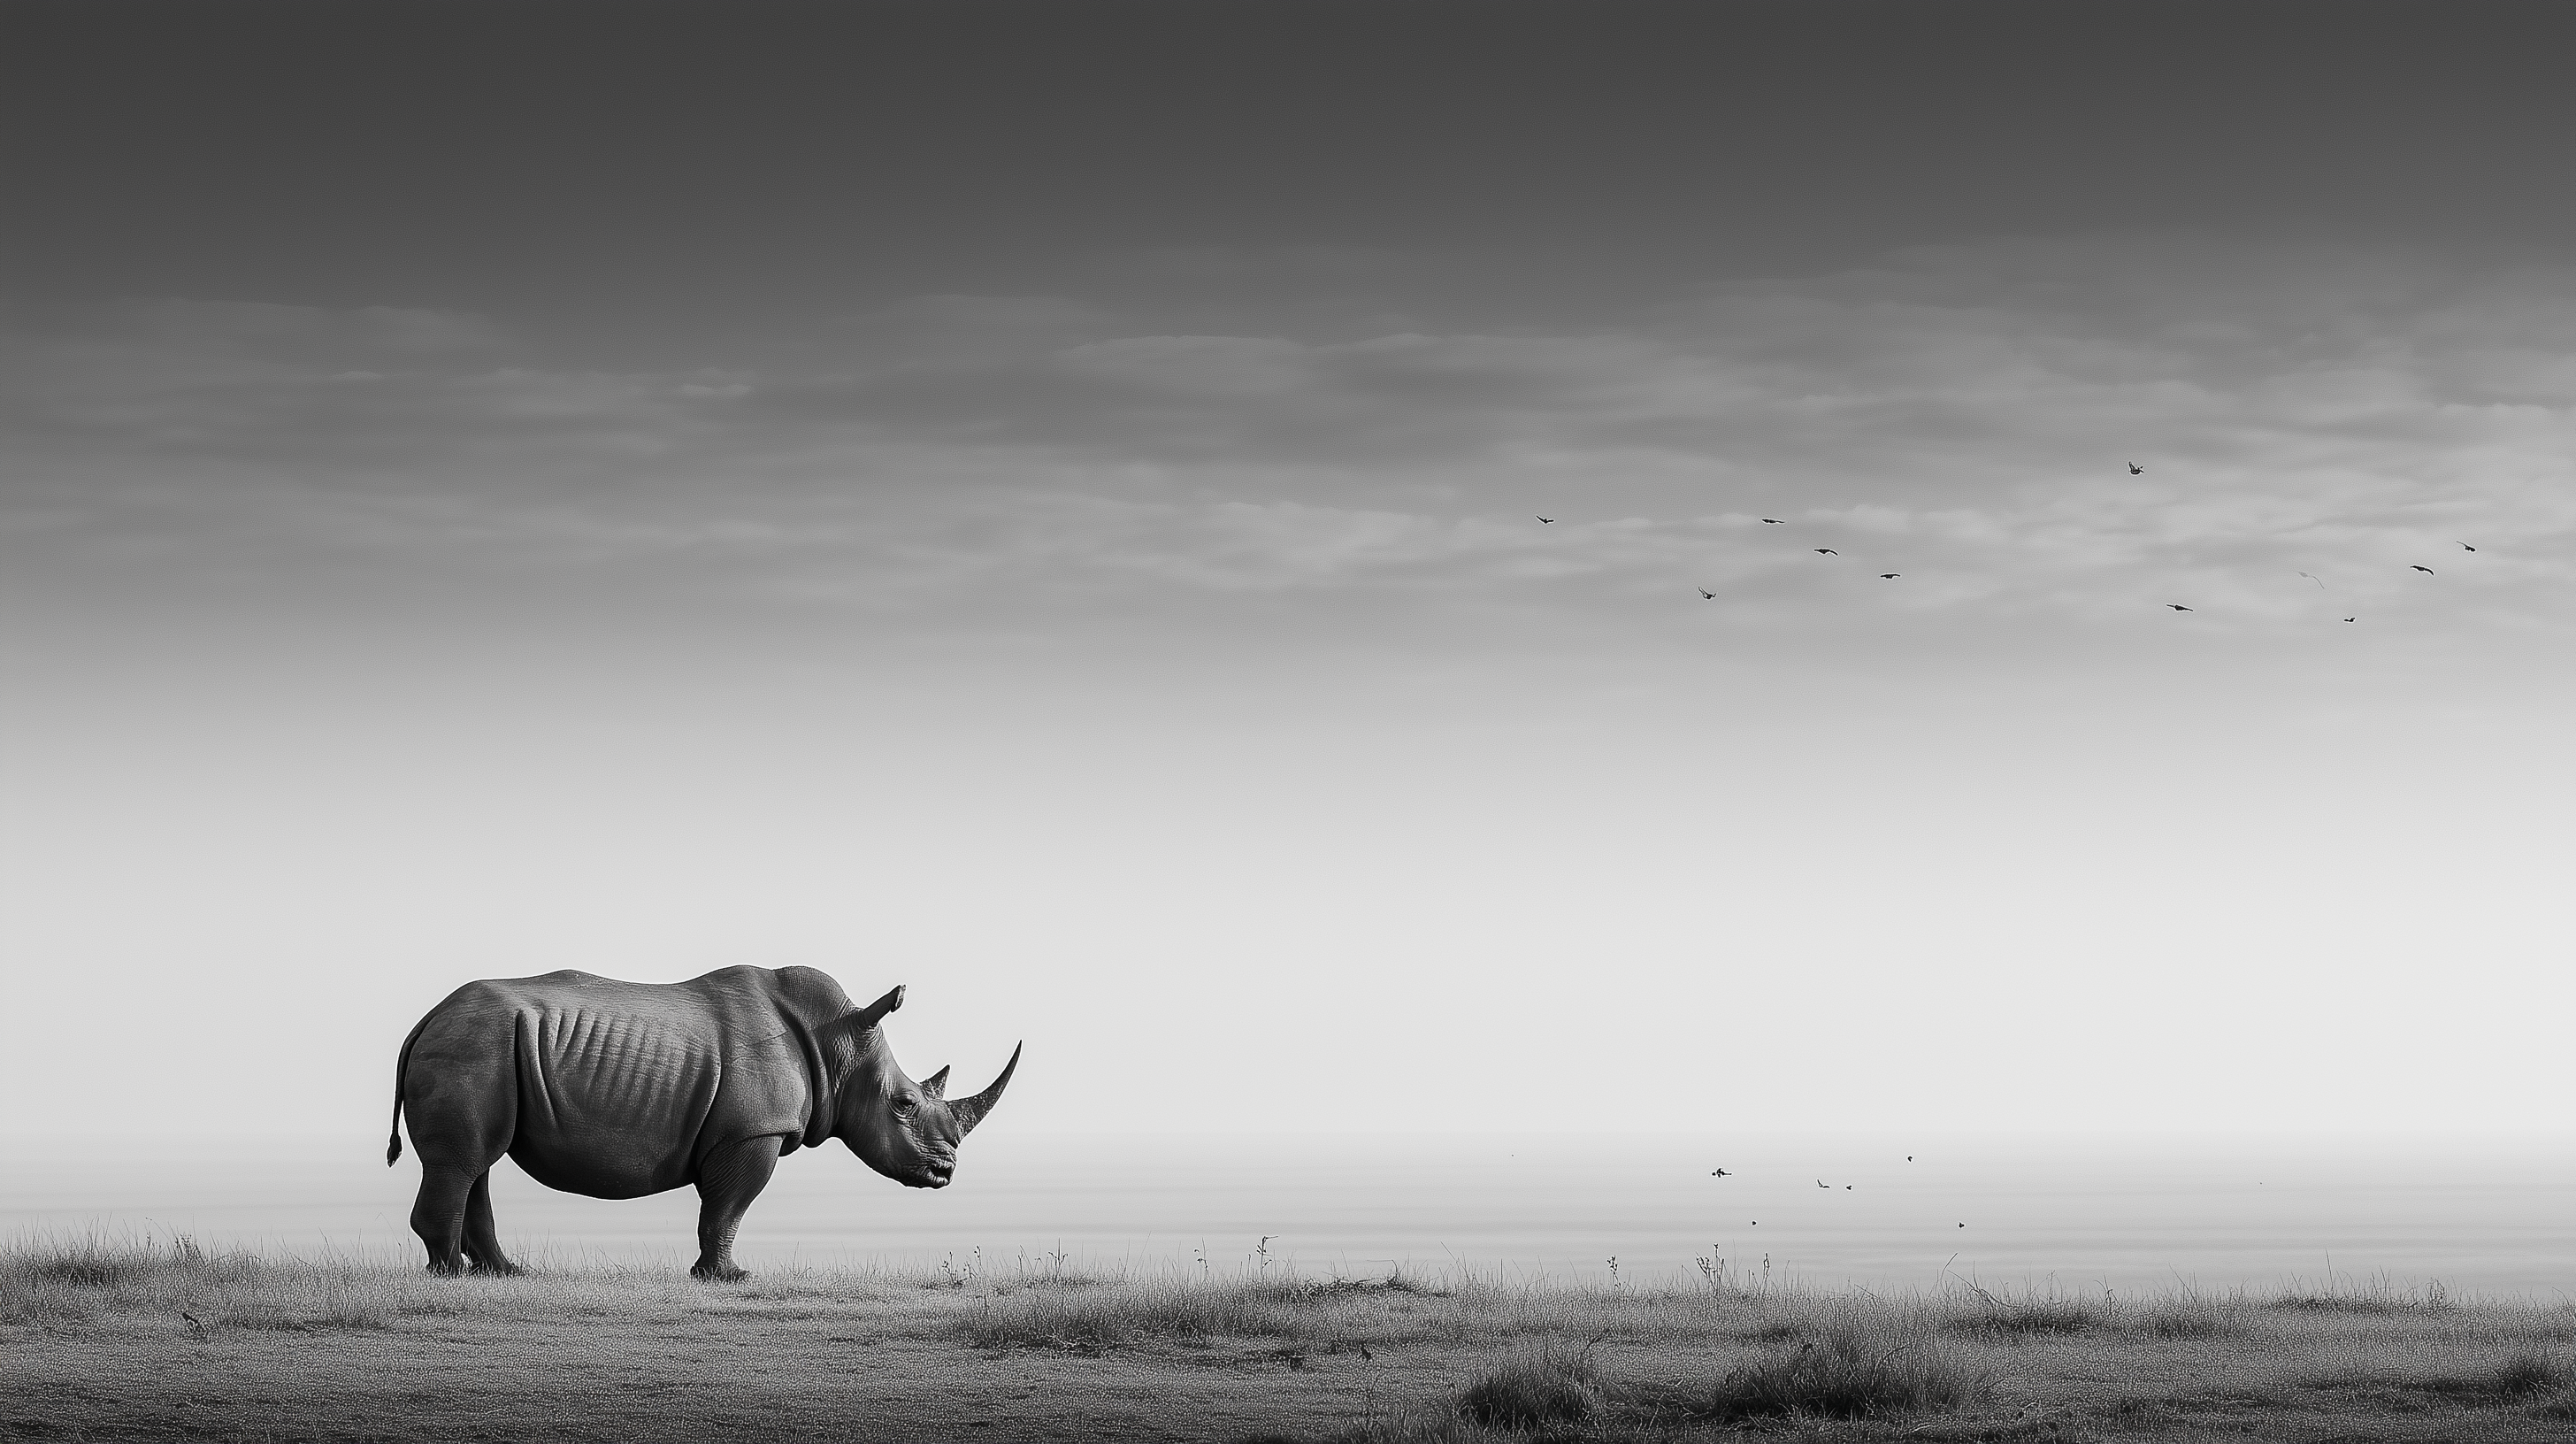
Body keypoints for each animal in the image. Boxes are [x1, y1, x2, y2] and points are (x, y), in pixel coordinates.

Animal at [387, 965, 1019, 1280]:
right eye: (905, 1104)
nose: (946, 1171)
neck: (837, 1041)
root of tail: (427, 1018)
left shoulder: (745, 1133)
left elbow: (721, 1208)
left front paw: (711, 1275)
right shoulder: (753, 1131)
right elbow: (728, 1206)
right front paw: (729, 1279)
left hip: (485, 1044)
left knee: (477, 1163)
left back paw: (506, 1275)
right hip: (475, 1043)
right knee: (462, 1162)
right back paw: (450, 1279)